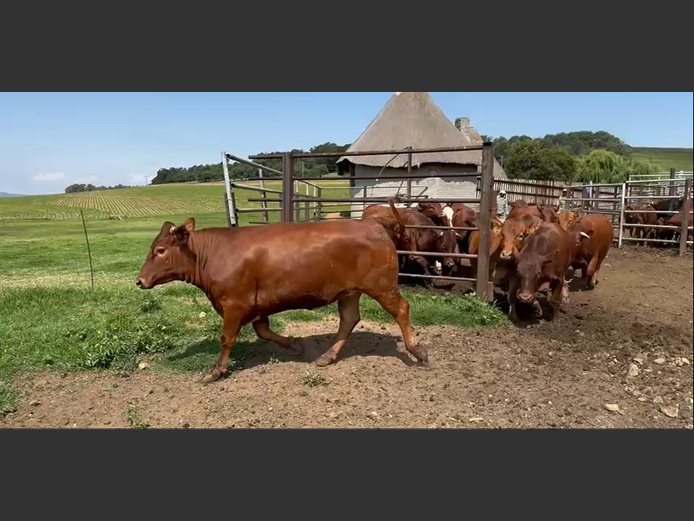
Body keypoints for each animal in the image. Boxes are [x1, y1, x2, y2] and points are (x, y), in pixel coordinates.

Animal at [135, 205, 428, 384]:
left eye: (160, 250)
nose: (139, 281)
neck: (213, 254)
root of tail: (372, 222)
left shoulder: (234, 304)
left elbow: (227, 339)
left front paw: (215, 371)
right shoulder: (256, 306)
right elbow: (264, 331)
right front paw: (294, 343)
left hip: (382, 286)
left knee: (401, 309)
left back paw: (417, 350)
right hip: (349, 291)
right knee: (349, 319)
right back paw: (327, 356)